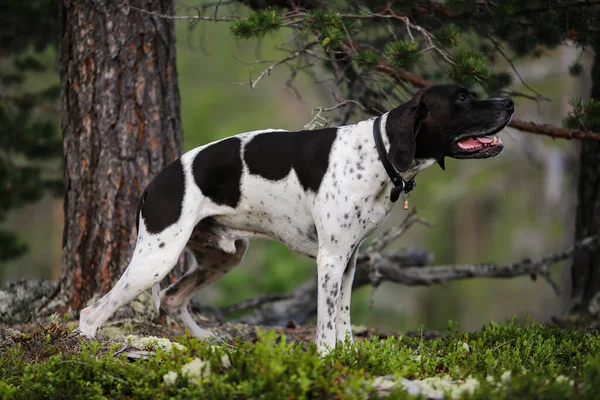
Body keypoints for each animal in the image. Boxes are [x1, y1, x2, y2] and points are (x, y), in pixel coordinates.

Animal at [77, 84, 512, 354]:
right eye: (462, 97)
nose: (509, 102)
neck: (377, 152)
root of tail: (153, 184)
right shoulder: (329, 260)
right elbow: (325, 323)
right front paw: (327, 359)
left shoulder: (349, 260)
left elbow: (343, 318)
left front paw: (349, 355)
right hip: (157, 257)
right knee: (93, 311)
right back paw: (88, 347)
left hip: (224, 256)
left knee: (172, 297)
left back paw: (205, 338)